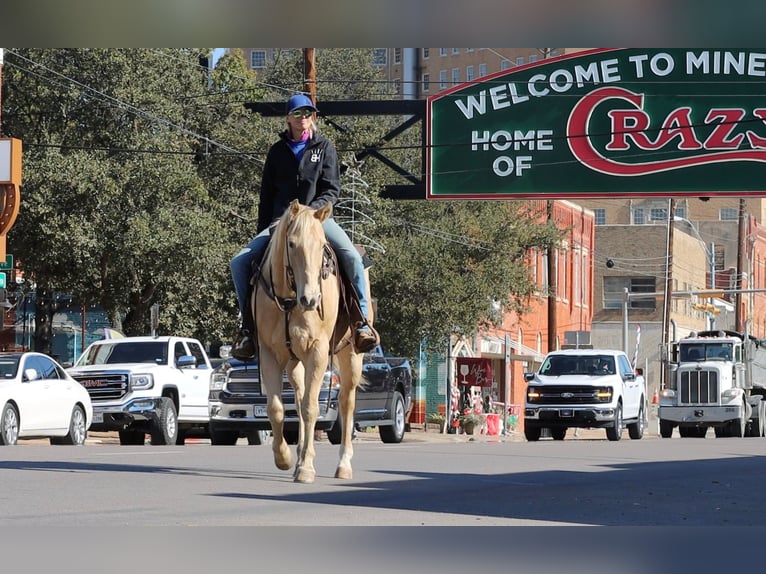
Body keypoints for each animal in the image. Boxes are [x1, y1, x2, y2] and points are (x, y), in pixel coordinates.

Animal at [255, 200, 368, 484]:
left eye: (322, 246)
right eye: (291, 243)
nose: (310, 300)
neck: (289, 300)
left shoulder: (317, 351)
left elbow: (311, 408)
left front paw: (306, 467)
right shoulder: (269, 353)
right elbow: (277, 408)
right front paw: (284, 458)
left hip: (351, 357)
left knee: (346, 403)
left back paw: (343, 465)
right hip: (295, 362)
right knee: (298, 398)